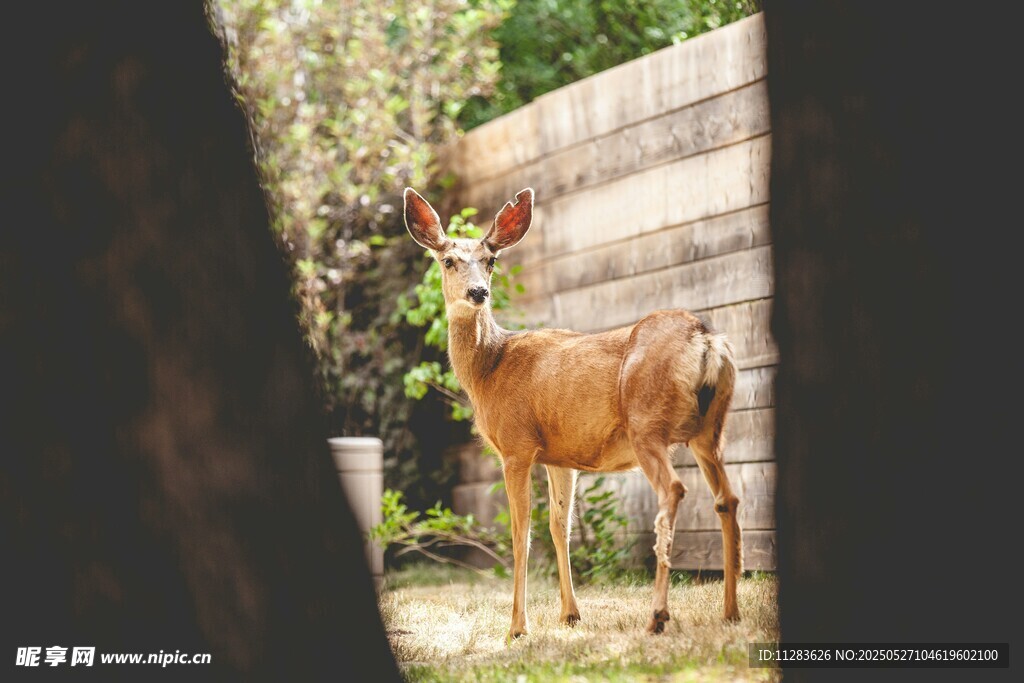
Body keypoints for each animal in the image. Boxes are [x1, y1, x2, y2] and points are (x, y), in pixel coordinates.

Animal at [403, 187, 742, 641]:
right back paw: (730, 612)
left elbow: (521, 533)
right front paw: (570, 614)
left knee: (673, 489)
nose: (478, 292)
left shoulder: (516, 445)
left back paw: (657, 615)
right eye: (448, 260)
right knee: (728, 498)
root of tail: (706, 340)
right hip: (711, 429)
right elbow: (559, 526)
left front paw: (517, 627)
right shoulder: (560, 456)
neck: (489, 369)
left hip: (647, 424)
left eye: (490, 260)